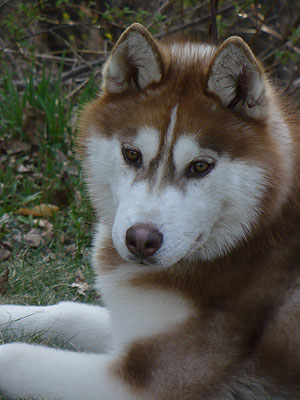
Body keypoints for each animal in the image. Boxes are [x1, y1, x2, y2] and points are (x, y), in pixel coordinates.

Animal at [0, 22, 300, 400]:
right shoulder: (132, 323)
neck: (249, 239)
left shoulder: (146, 382)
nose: (140, 240)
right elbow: (66, 312)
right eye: (132, 154)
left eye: (200, 166)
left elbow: (15, 356)